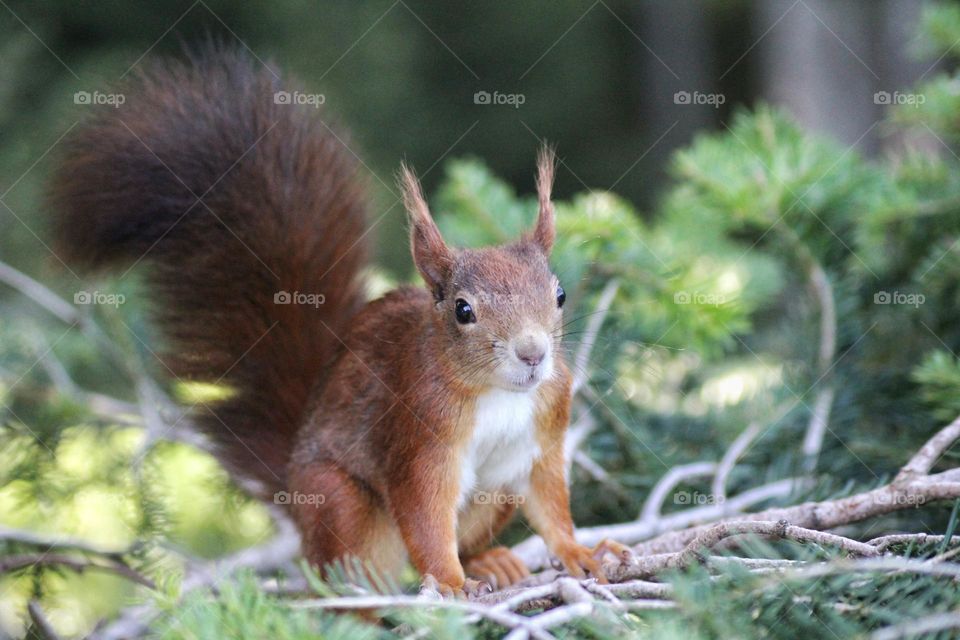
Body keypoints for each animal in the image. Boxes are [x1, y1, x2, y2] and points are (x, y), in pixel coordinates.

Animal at [52, 47, 628, 596]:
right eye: (463, 310)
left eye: (559, 294)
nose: (533, 353)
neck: (499, 393)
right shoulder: (419, 432)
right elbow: (424, 512)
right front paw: (448, 582)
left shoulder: (545, 434)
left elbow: (551, 504)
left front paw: (581, 552)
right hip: (338, 503)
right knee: (344, 577)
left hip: (494, 495)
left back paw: (490, 560)